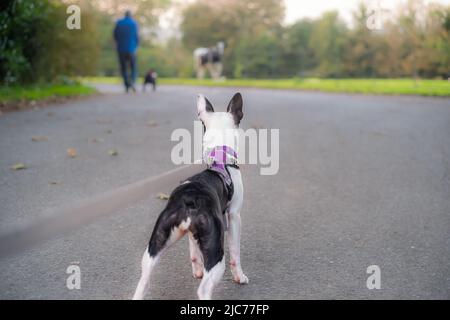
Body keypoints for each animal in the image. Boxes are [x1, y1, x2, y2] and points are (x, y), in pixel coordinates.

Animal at [132, 92, 248, 300]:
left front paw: (197, 270)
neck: (219, 158)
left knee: (144, 281)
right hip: (216, 253)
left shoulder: (192, 235)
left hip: (154, 247)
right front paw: (240, 277)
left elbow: (193, 250)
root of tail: (189, 200)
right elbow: (236, 252)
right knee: (204, 288)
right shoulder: (234, 216)